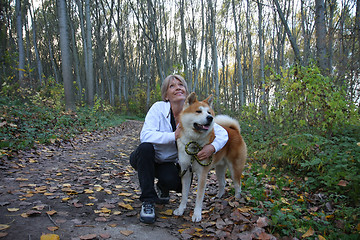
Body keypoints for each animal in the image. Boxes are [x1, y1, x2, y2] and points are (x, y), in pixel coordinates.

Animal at [172, 93, 246, 222]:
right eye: (198, 111)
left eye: (209, 112)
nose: (210, 118)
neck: (194, 142)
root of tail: (235, 131)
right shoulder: (185, 172)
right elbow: (184, 195)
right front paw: (181, 210)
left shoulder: (202, 174)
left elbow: (199, 196)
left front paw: (197, 214)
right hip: (219, 168)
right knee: (223, 183)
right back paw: (218, 197)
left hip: (235, 169)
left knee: (237, 185)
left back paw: (237, 200)